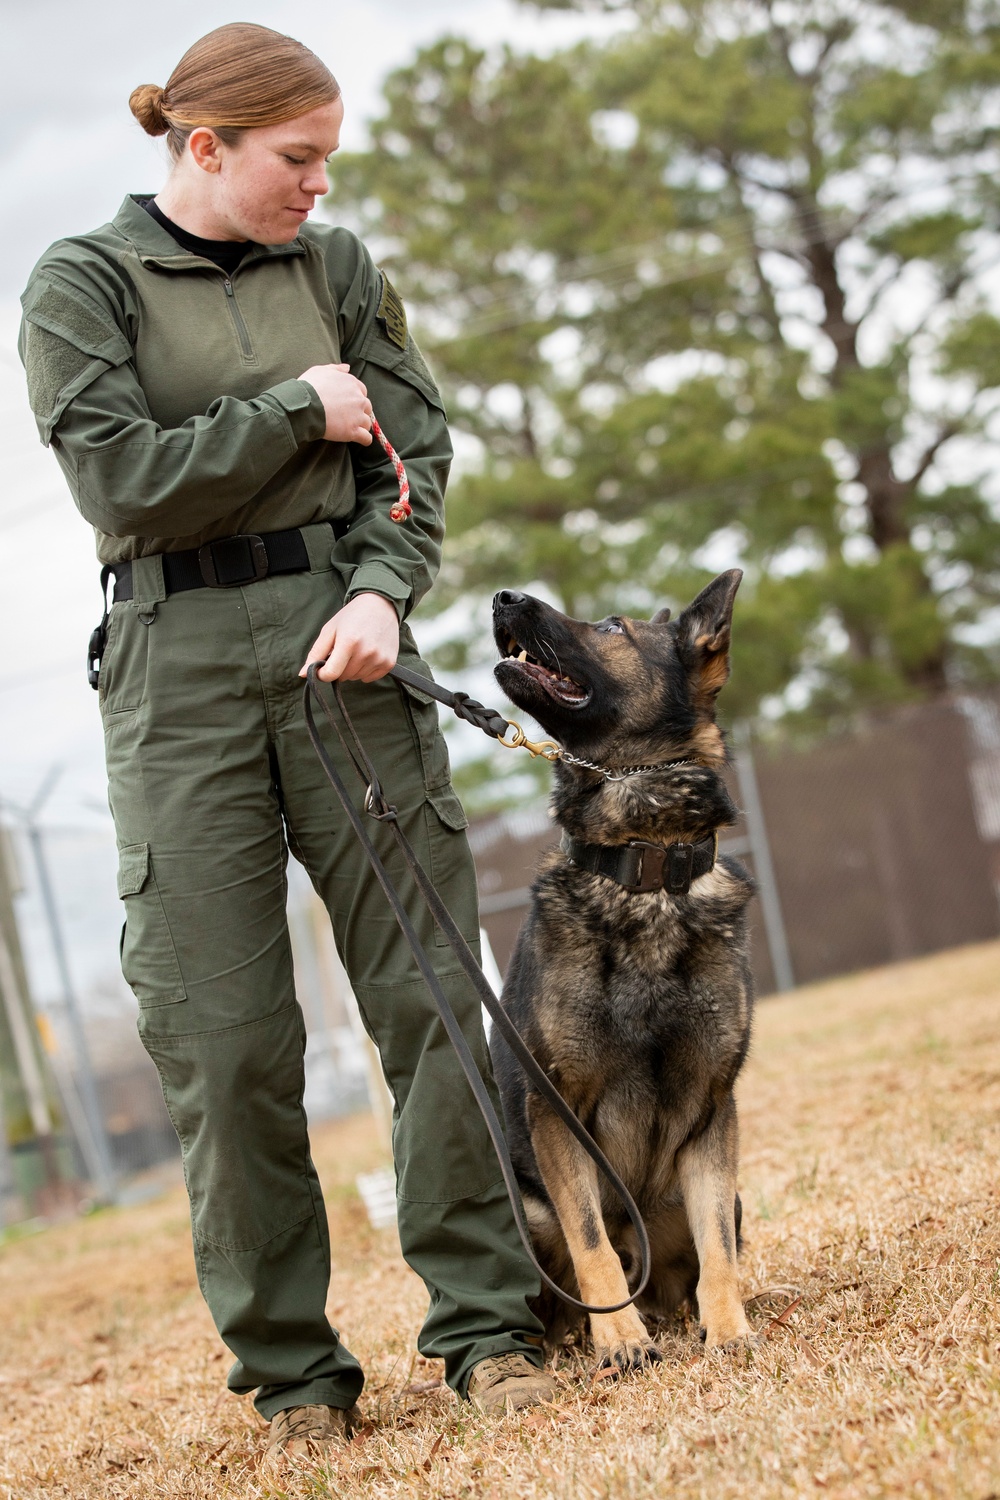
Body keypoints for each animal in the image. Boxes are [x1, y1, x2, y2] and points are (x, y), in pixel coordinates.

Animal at [488, 573, 755, 1374]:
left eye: (612, 625)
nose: (502, 597)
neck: (646, 876)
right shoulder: (555, 1111)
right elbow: (591, 1238)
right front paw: (622, 1340)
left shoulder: (711, 1112)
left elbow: (718, 1248)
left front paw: (728, 1328)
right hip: (520, 1216)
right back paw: (575, 1340)